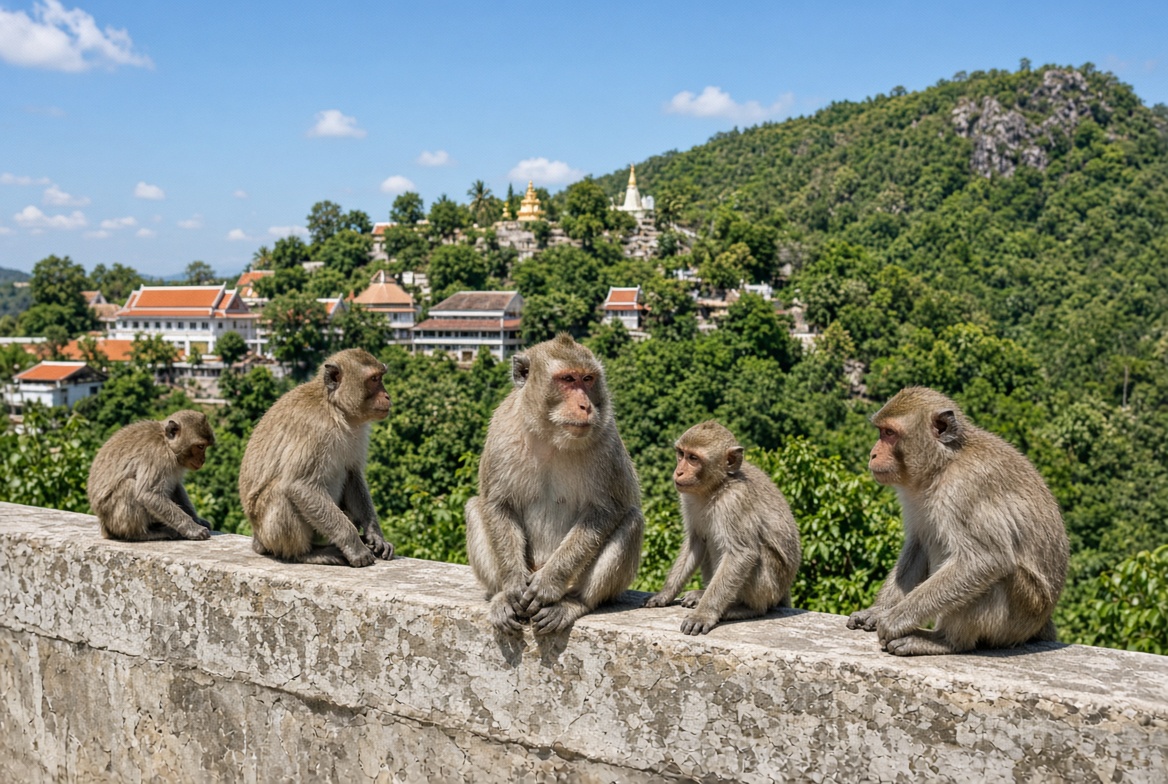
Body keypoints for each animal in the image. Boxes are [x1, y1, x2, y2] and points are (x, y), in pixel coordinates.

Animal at [88, 409, 216, 541]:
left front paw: (196, 520)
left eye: (205, 446)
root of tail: (104, 527)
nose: (203, 460)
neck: (166, 443)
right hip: (113, 519)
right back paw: (144, 534)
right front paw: (194, 529)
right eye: (200, 446)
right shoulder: (157, 456)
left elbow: (176, 486)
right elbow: (148, 493)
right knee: (129, 486)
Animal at [239, 348, 395, 567]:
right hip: (267, 531)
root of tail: (257, 540)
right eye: (374, 379)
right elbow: (300, 485)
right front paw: (355, 547)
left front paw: (375, 535)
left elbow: (352, 474)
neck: (335, 407)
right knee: (281, 491)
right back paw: (306, 554)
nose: (387, 396)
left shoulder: (358, 431)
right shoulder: (315, 428)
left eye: (380, 377)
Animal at [465, 333, 644, 636]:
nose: (586, 406)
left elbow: (608, 509)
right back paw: (501, 596)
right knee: (475, 507)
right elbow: (497, 503)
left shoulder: (606, 440)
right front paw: (513, 586)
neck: (549, 436)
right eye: (568, 379)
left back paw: (573, 602)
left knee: (631, 521)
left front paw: (547, 585)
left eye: (588, 379)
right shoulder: (501, 430)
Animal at [643, 421, 801, 635]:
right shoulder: (688, 497)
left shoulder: (735, 501)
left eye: (693, 458)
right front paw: (664, 593)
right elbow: (696, 541)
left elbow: (742, 553)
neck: (716, 486)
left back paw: (745, 608)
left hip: (772, 588)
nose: (679, 472)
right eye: (681, 454)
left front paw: (703, 614)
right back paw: (702, 594)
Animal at [847, 386, 1069, 656]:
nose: (873, 454)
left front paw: (894, 620)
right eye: (881, 432)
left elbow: (985, 558)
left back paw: (943, 640)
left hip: (1022, 615)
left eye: (890, 434)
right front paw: (877, 611)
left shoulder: (965, 488)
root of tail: (1042, 621)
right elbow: (919, 544)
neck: (943, 464)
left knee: (997, 576)